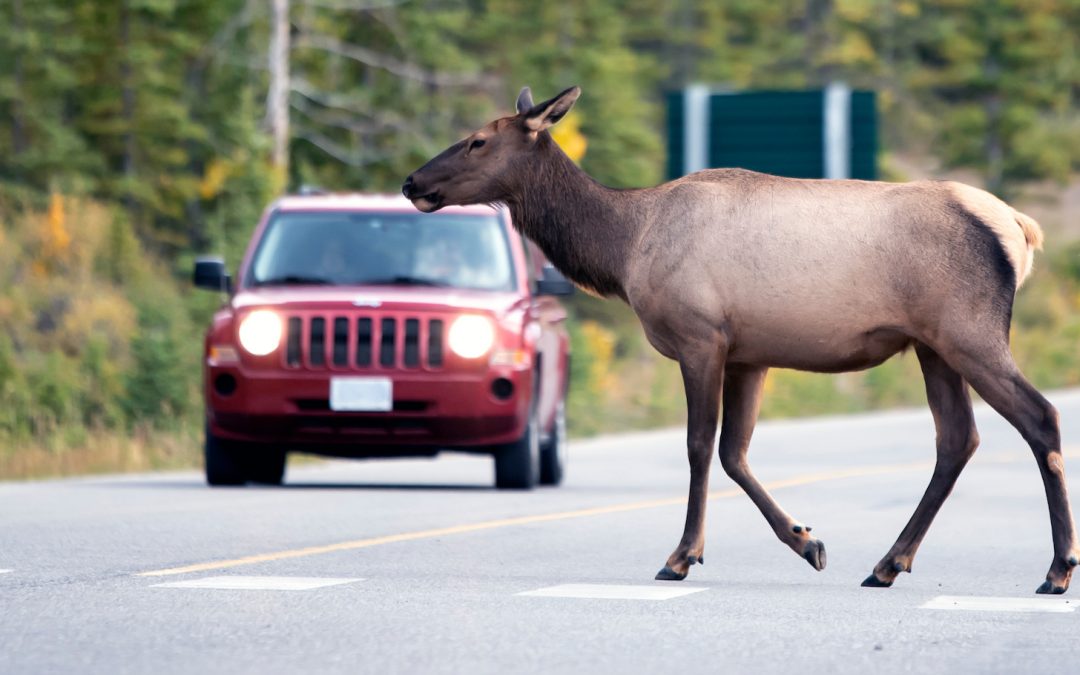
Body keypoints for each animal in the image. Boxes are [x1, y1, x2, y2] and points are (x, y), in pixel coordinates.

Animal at [406, 85, 1080, 596]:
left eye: (479, 140)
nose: (413, 181)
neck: (623, 248)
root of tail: (1020, 228)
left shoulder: (700, 337)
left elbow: (699, 447)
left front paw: (680, 556)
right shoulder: (750, 353)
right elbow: (735, 452)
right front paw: (807, 541)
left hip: (970, 330)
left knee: (1039, 416)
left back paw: (1056, 570)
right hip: (933, 345)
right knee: (956, 438)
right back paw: (888, 564)